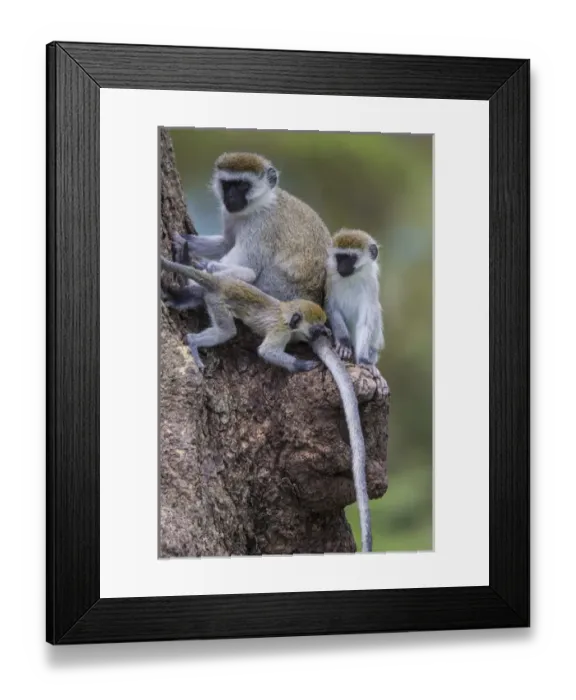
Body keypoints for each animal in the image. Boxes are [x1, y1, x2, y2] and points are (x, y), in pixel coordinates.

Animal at [160, 257, 330, 373]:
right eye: (315, 330)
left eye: (320, 329)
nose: (317, 335)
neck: (287, 315)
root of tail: (222, 283)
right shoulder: (281, 331)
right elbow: (266, 351)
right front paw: (301, 364)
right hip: (218, 302)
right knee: (226, 331)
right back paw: (193, 341)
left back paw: (178, 299)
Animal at [325, 228, 385, 374]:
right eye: (339, 257)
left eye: (351, 258)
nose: (341, 268)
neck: (351, 278)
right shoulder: (330, 279)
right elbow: (332, 308)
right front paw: (344, 343)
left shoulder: (371, 285)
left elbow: (365, 323)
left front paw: (363, 360)